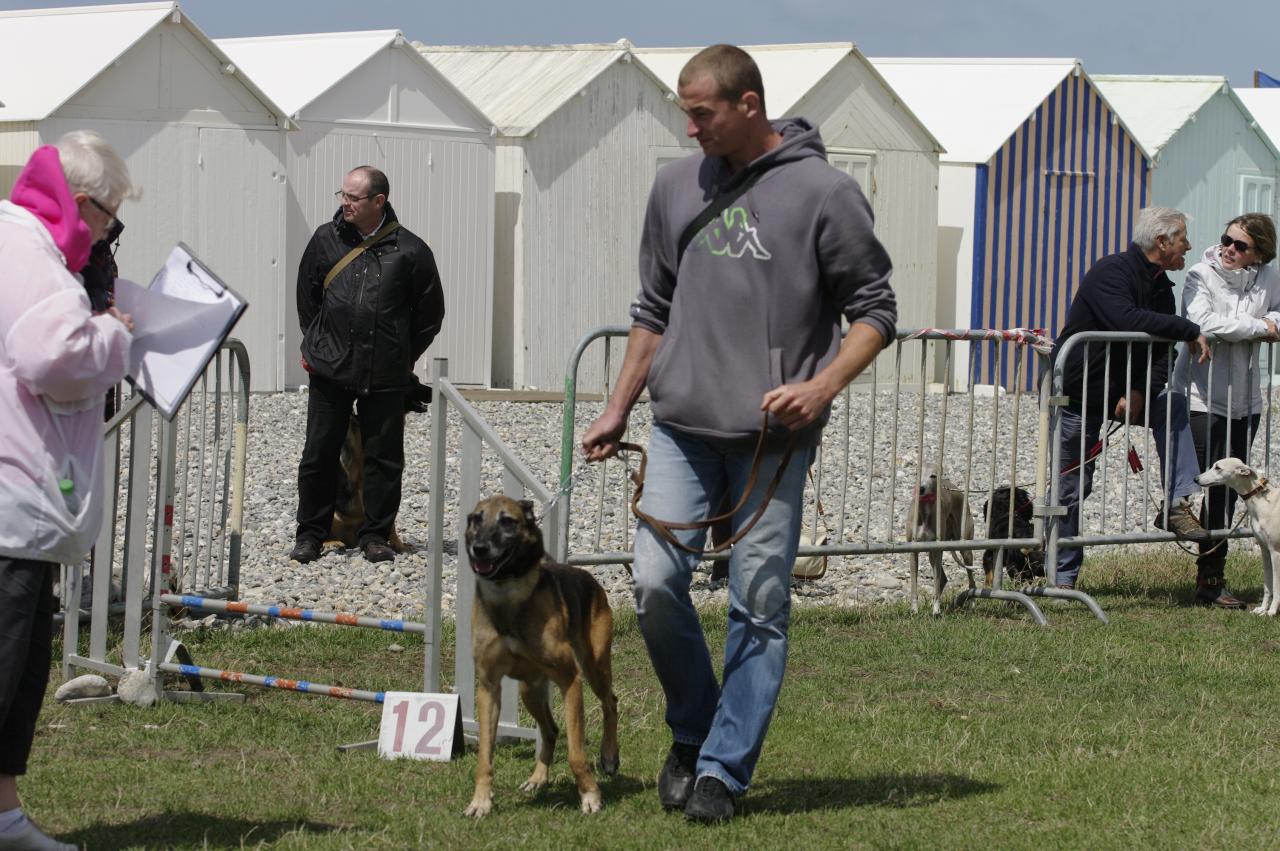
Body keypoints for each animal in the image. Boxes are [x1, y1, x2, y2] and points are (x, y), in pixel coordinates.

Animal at [463, 493, 622, 819]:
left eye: (507, 521)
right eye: (476, 519)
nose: (479, 548)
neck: (508, 595)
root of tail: (587, 576)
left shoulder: (571, 680)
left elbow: (575, 752)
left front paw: (590, 795)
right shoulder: (488, 687)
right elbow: (485, 755)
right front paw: (481, 800)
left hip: (594, 667)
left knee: (609, 702)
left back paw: (609, 755)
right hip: (529, 690)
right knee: (550, 730)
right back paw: (538, 778)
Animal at [911, 465, 977, 611]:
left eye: (933, 475)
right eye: (918, 473)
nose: (921, 488)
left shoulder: (937, 549)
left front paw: (936, 609)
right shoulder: (913, 551)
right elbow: (914, 583)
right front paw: (915, 609)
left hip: (965, 550)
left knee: (970, 578)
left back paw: (971, 601)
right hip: (932, 554)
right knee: (942, 579)